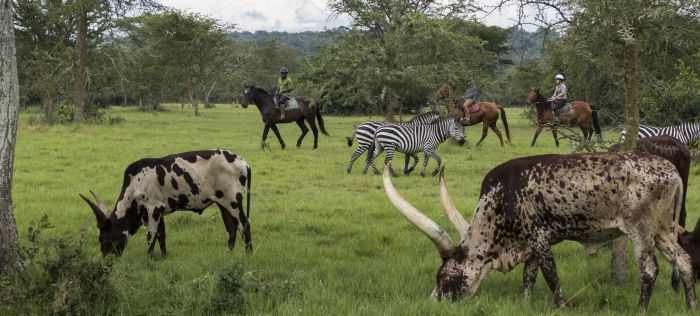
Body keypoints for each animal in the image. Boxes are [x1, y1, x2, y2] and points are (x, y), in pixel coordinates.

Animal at [81, 149, 253, 256]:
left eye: (103, 239)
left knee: (244, 225)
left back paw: (249, 255)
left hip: (234, 202)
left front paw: (148, 259)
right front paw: (163, 257)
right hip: (222, 204)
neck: (135, 184)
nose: (105, 259)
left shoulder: (152, 209)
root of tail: (243, 162)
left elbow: (151, 238)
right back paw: (228, 254)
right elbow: (161, 236)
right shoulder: (159, 211)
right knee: (232, 229)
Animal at [386, 152, 696, 310]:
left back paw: (641, 310)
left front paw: (561, 308)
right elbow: (529, 277)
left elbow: (551, 278)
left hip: (641, 230)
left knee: (650, 270)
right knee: (684, 262)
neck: (498, 202)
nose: (434, 303)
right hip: (663, 230)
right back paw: (691, 307)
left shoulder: (540, 238)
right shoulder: (530, 244)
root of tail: (671, 171)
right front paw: (525, 304)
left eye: (443, 277)